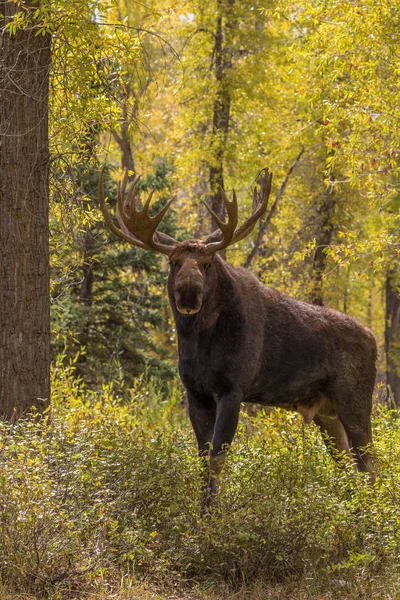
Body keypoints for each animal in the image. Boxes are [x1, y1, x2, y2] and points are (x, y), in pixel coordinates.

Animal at [98, 169, 376, 506]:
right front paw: (201, 510)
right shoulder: (196, 394)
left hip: (355, 401)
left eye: (207, 264)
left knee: (369, 465)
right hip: (326, 413)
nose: (187, 292)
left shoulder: (233, 390)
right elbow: (201, 460)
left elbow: (217, 460)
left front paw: (214, 514)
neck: (199, 344)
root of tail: (373, 338)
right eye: (172, 262)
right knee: (347, 468)